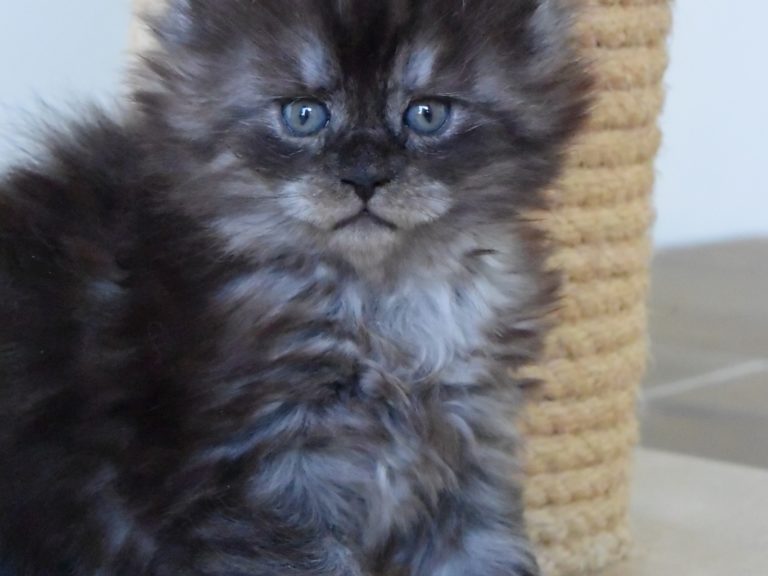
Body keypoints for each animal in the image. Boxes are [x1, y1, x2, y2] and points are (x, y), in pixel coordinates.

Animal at [0, 0, 590, 574]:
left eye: (427, 113)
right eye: (303, 115)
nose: (365, 176)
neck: (384, 301)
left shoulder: (471, 449)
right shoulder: (265, 477)